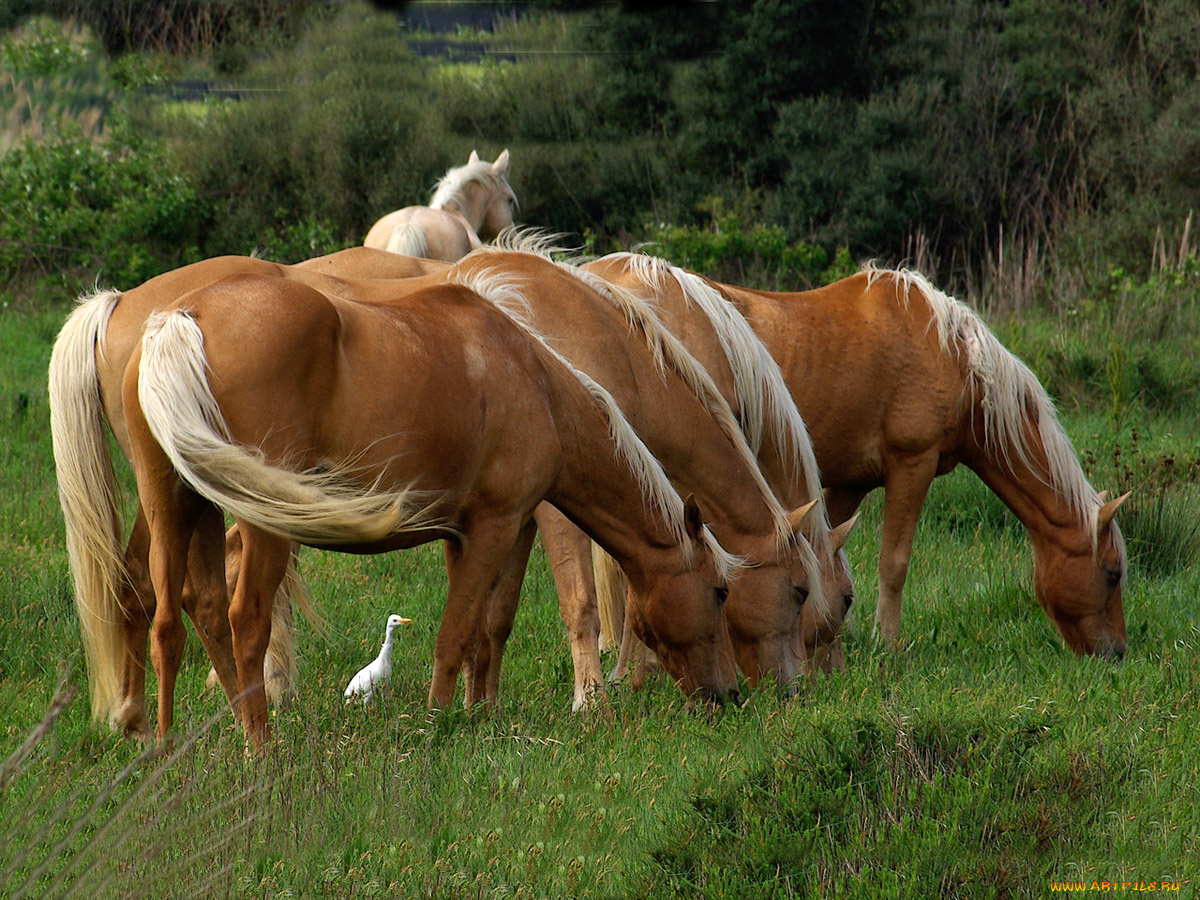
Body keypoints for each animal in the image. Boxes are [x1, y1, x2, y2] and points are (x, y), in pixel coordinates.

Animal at [121, 274, 739, 748]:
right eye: (719, 592)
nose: (730, 697)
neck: (535, 380)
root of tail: (183, 316)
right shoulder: (493, 527)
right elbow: (455, 632)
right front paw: (438, 722)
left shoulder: (482, 533)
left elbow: (488, 627)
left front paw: (480, 711)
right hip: (258, 524)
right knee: (245, 620)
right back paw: (261, 748)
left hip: (179, 506)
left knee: (178, 618)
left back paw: (169, 743)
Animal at [638, 264, 1123, 657]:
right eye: (1113, 574)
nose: (1115, 653)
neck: (951, 353)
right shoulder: (913, 464)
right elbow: (894, 562)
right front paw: (884, 643)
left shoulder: (848, 484)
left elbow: (826, 552)